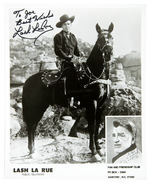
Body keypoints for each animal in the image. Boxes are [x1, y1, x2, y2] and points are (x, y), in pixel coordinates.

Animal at [22, 23, 113, 160]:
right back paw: (31, 151)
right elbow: (92, 127)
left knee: (33, 125)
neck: (94, 75)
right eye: (100, 39)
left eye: (112, 38)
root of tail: (28, 81)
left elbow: (97, 126)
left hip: (41, 107)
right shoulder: (92, 104)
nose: (108, 53)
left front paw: (99, 150)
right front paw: (94, 152)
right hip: (35, 107)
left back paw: (32, 150)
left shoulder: (101, 105)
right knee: (31, 125)